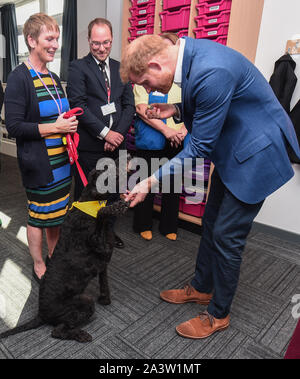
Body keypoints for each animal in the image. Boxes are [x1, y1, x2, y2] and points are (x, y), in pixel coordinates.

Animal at [0, 163, 129, 344]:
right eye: (108, 174)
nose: (125, 164)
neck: (90, 201)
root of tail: (41, 314)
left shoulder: (104, 259)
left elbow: (105, 283)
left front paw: (105, 299)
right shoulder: (100, 245)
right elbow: (101, 214)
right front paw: (115, 207)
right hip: (85, 302)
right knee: (57, 331)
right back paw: (81, 335)